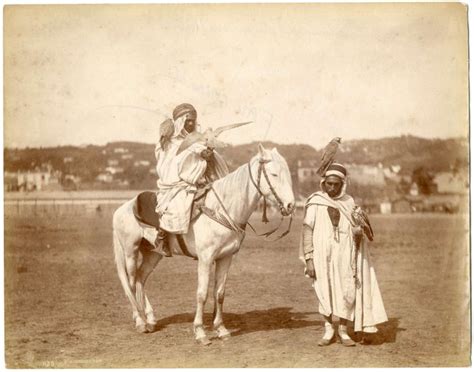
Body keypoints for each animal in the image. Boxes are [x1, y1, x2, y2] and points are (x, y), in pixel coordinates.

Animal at [112, 144, 294, 344]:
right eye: (274, 174)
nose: (290, 205)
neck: (220, 210)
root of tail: (122, 208)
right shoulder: (205, 259)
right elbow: (202, 294)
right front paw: (200, 332)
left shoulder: (225, 258)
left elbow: (219, 294)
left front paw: (221, 329)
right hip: (130, 252)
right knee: (130, 282)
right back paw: (140, 322)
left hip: (153, 254)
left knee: (140, 279)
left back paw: (150, 320)